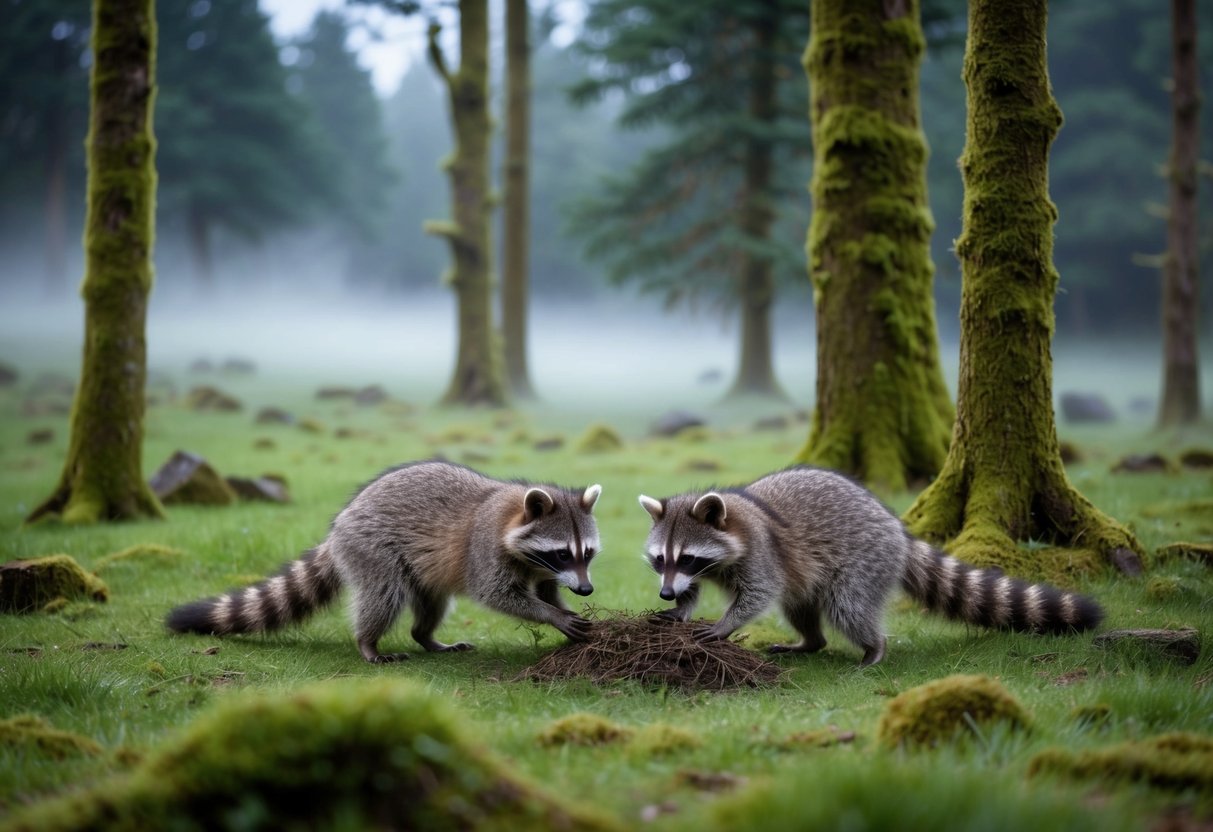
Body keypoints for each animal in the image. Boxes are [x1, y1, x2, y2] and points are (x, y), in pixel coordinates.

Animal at [167, 460, 603, 663]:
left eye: (587, 554)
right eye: (562, 552)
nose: (586, 589)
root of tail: (341, 523)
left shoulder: (540, 567)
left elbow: (546, 589)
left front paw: (561, 608)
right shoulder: (486, 549)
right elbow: (496, 594)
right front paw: (552, 615)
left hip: (418, 570)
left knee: (432, 603)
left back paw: (426, 636)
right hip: (373, 549)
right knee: (383, 595)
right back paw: (368, 642)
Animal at [639, 466, 1103, 666]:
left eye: (688, 556)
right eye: (662, 560)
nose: (664, 591)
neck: (734, 516)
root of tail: (896, 527)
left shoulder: (761, 550)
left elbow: (758, 593)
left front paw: (724, 624)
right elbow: (695, 589)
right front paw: (680, 607)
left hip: (865, 560)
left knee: (848, 608)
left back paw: (873, 645)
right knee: (800, 607)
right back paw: (810, 641)